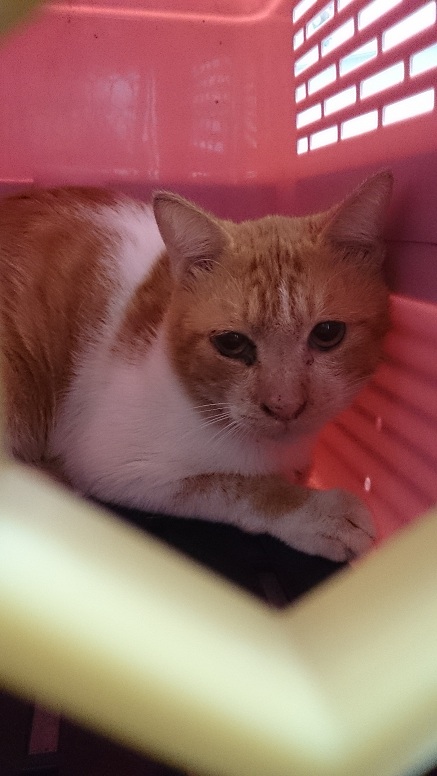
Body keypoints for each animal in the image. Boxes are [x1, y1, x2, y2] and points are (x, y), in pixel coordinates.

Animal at [0, 171, 392, 561]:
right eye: (231, 343)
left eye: (327, 334)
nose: (284, 405)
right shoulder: (112, 464)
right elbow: (234, 485)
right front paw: (315, 512)